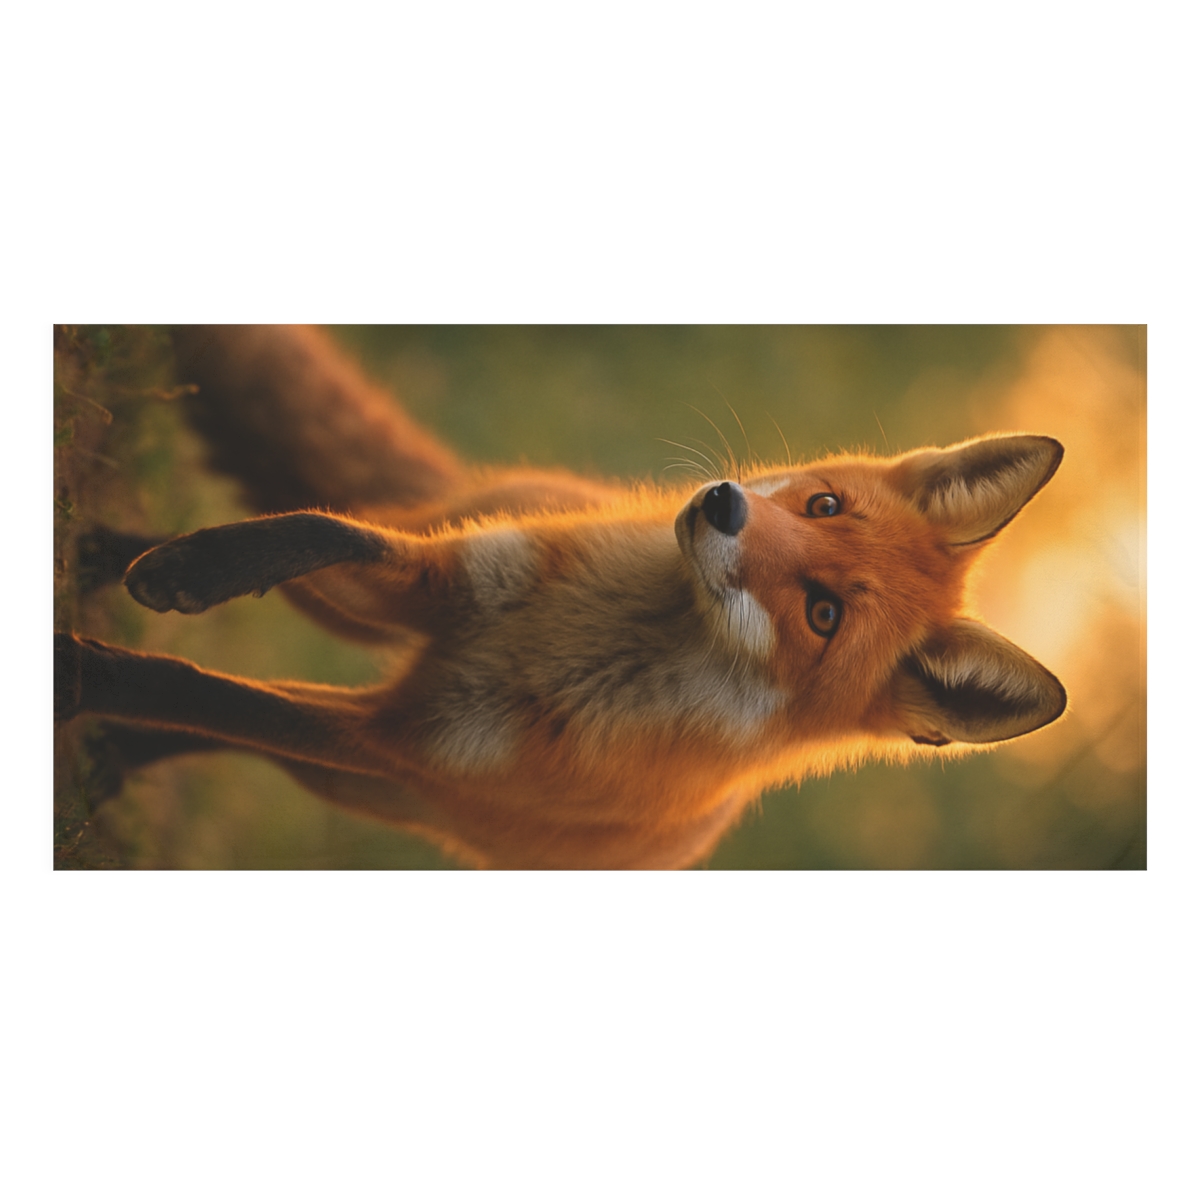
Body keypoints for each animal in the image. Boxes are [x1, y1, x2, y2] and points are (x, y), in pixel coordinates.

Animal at [55, 325, 1068, 869]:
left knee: (224, 733)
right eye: (824, 505)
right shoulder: (440, 583)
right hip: (409, 567)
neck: (578, 643)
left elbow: (206, 696)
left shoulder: (394, 742)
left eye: (824, 616)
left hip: (366, 782)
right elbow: (313, 529)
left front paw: (79, 678)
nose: (721, 506)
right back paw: (116, 551)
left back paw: (117, 743)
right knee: (324, 524)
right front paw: (190, 573)